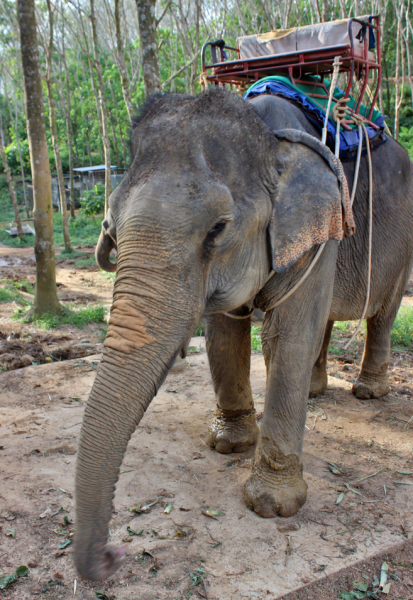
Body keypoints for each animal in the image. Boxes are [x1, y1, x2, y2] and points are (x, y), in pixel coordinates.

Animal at [74, 86, 412, 580]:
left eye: (218, 228)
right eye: (111, 226)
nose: (113, 555)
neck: (267, 135)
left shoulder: (321, 227)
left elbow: (288, 336)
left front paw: (272, 506)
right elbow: (224, 331)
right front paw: (227, 445)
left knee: (383, 311)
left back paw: (369, 391)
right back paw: (316, 391)